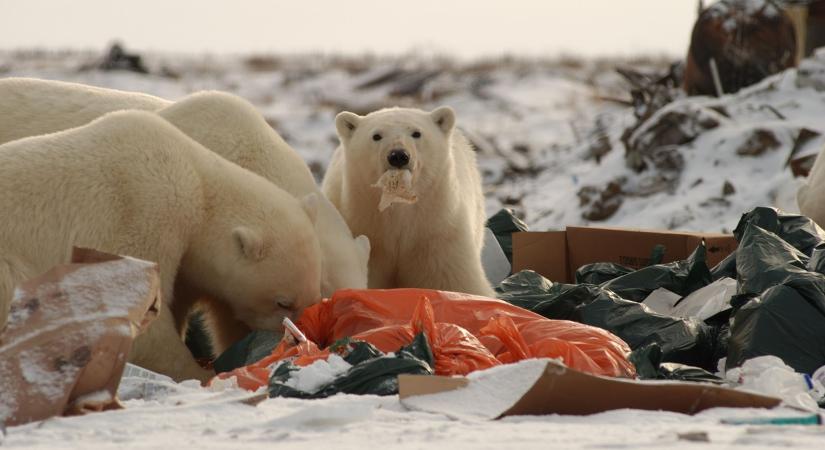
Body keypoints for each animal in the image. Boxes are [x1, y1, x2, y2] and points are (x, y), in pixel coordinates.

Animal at [0, 110, 322, 382]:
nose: (301, 339)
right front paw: (201, 373)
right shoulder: (146, 212)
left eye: (315, 296)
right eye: (283, 302)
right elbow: (139, 313)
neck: (199, 185)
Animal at [322, 104, 492, 296]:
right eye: (376, 135)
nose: (398, 155)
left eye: (417, 133)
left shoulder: (437, 232)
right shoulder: (367, 231)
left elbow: (454, 281)